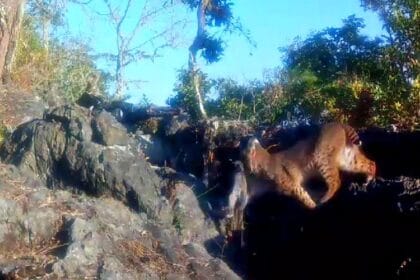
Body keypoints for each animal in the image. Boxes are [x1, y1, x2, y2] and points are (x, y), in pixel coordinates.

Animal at [241, 122, 376, 208]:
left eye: (244, 158)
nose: (245, 167)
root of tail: (338, 123)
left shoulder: (291, 184)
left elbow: (302, 196)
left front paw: (312, 206)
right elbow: (304, 193)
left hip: (322, 157)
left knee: (336, 181)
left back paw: (324, 199)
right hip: (348, 159)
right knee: (371, 163)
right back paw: (369, 179)